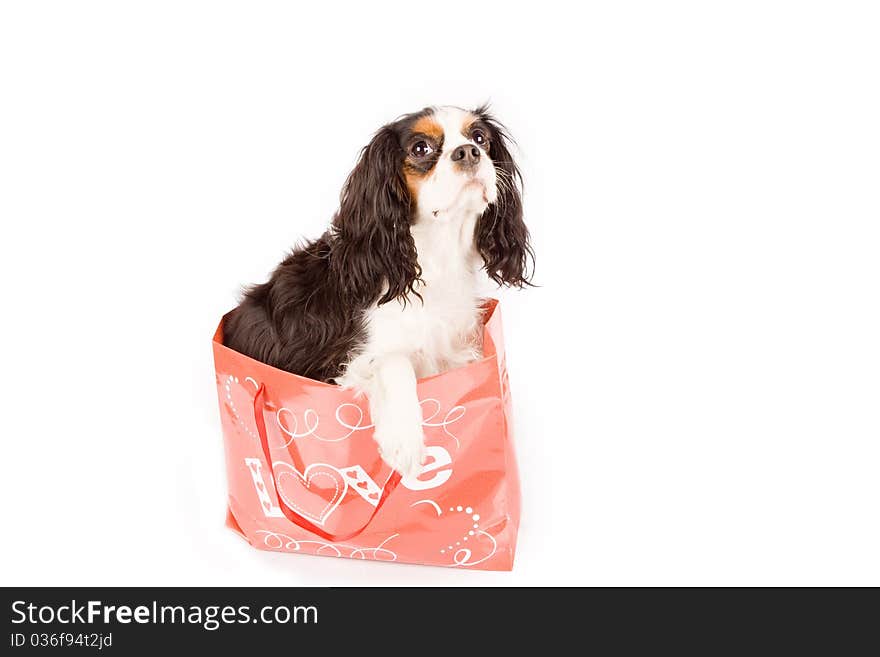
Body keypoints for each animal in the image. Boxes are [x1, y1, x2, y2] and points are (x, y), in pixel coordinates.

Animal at [223, 106, 532, 476]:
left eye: (480, 138)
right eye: (420, 148)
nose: (469, 152)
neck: (434, 259)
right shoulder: (336, 366)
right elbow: (394, 361)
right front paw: (404, 440)